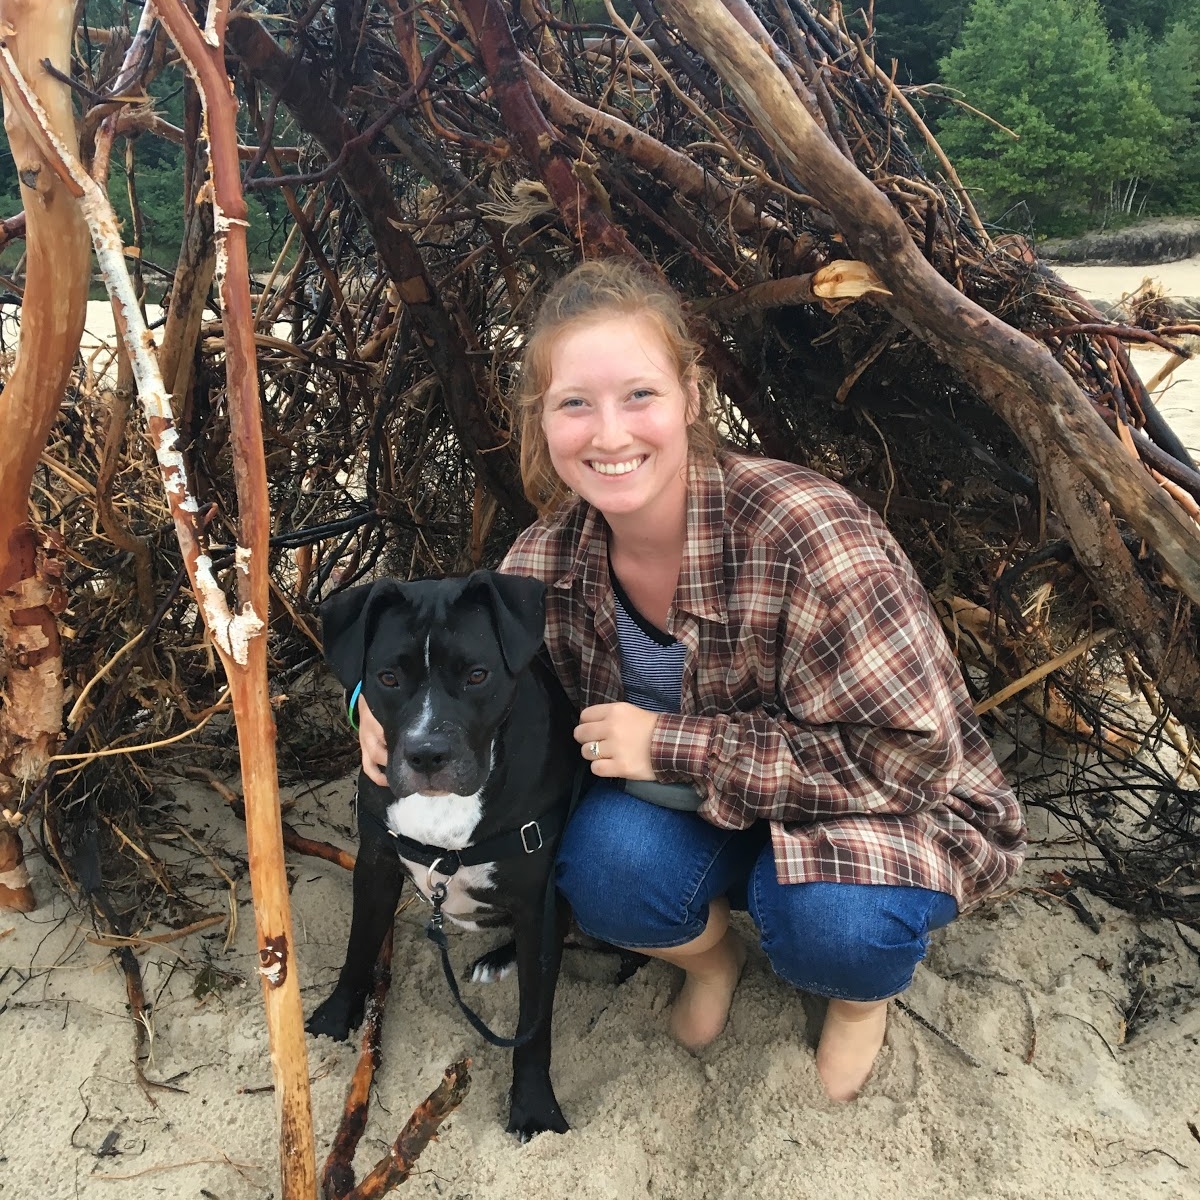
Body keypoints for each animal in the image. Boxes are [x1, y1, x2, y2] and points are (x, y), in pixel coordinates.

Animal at [307, 568, 573, 1132]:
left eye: (477, 675)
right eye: (388, 678)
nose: (428, 754)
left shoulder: (537, 900)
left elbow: (534, 1022)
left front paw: (535, 1107)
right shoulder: (376, 863)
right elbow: (359, 946)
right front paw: (335, 1018)